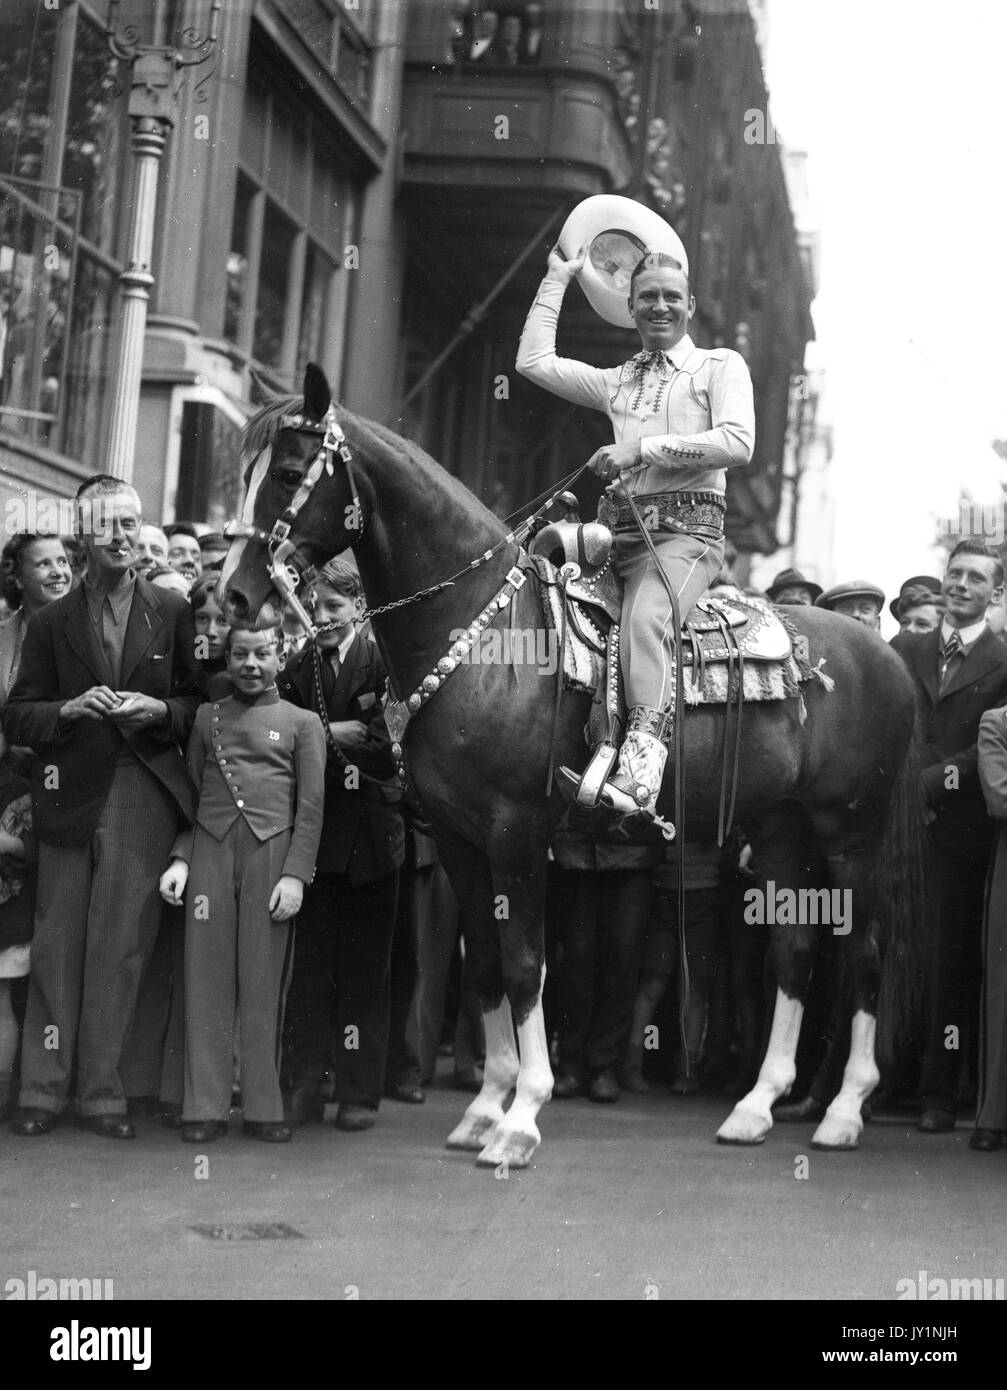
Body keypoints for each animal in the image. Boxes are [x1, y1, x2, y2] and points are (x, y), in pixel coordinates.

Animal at [222, 364, 929, 1167]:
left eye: (285, 474)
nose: (233, 592)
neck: (486, 631)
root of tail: (883, 656)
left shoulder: (517, 832)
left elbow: (526, 964)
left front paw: (522, 1117)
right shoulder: (461, 839)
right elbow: (487, 967)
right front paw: (484, 1109)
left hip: (850, 834)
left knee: (863, 954)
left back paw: (841, 1111)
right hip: (781, 826)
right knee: (795, 950)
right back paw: (755, 1105)